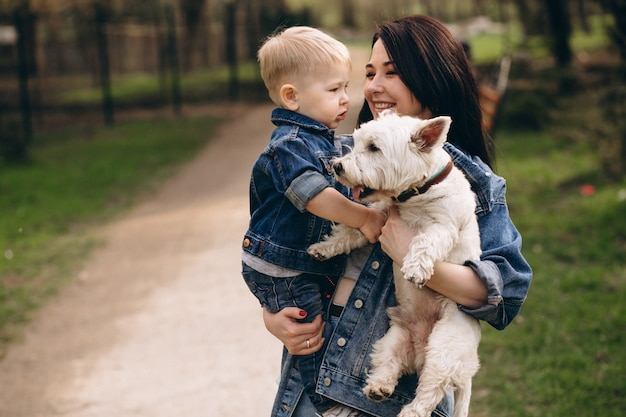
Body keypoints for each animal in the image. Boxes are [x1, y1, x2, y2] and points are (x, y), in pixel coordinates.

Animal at [310, 110, 480, 416]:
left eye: (374, 148)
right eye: (357, 141)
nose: (337, 166)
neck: (416, 193)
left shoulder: (443, 226)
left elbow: (425, 241)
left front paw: (414, 268)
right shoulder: (379, 218)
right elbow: (350, 232)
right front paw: (324, 249)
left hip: (445, 348)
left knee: (429, 391)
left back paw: (411, 410)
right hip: (393, 340)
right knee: (389, 365)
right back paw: (378, 388)